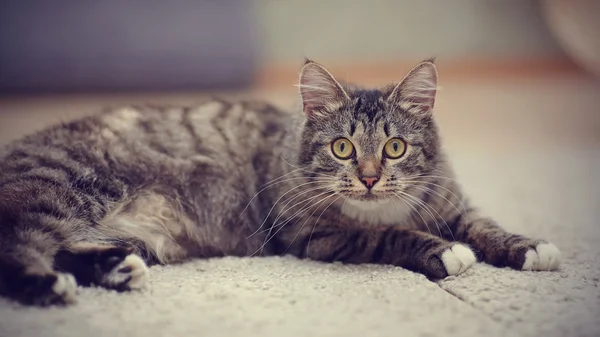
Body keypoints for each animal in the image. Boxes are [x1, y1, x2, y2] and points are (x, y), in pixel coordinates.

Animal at [0, 59, 564, 306]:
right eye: (343, 148)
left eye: (395, 148)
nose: (369, 178)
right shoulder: (317, 236)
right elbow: (389, 235)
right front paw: (445, 253)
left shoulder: (451, 204)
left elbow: (485, 226)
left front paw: (529, 248)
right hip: (66, 189)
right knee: (18, 243)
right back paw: (50, 284)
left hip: (129, 234)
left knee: (68, 248)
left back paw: (116, 269)